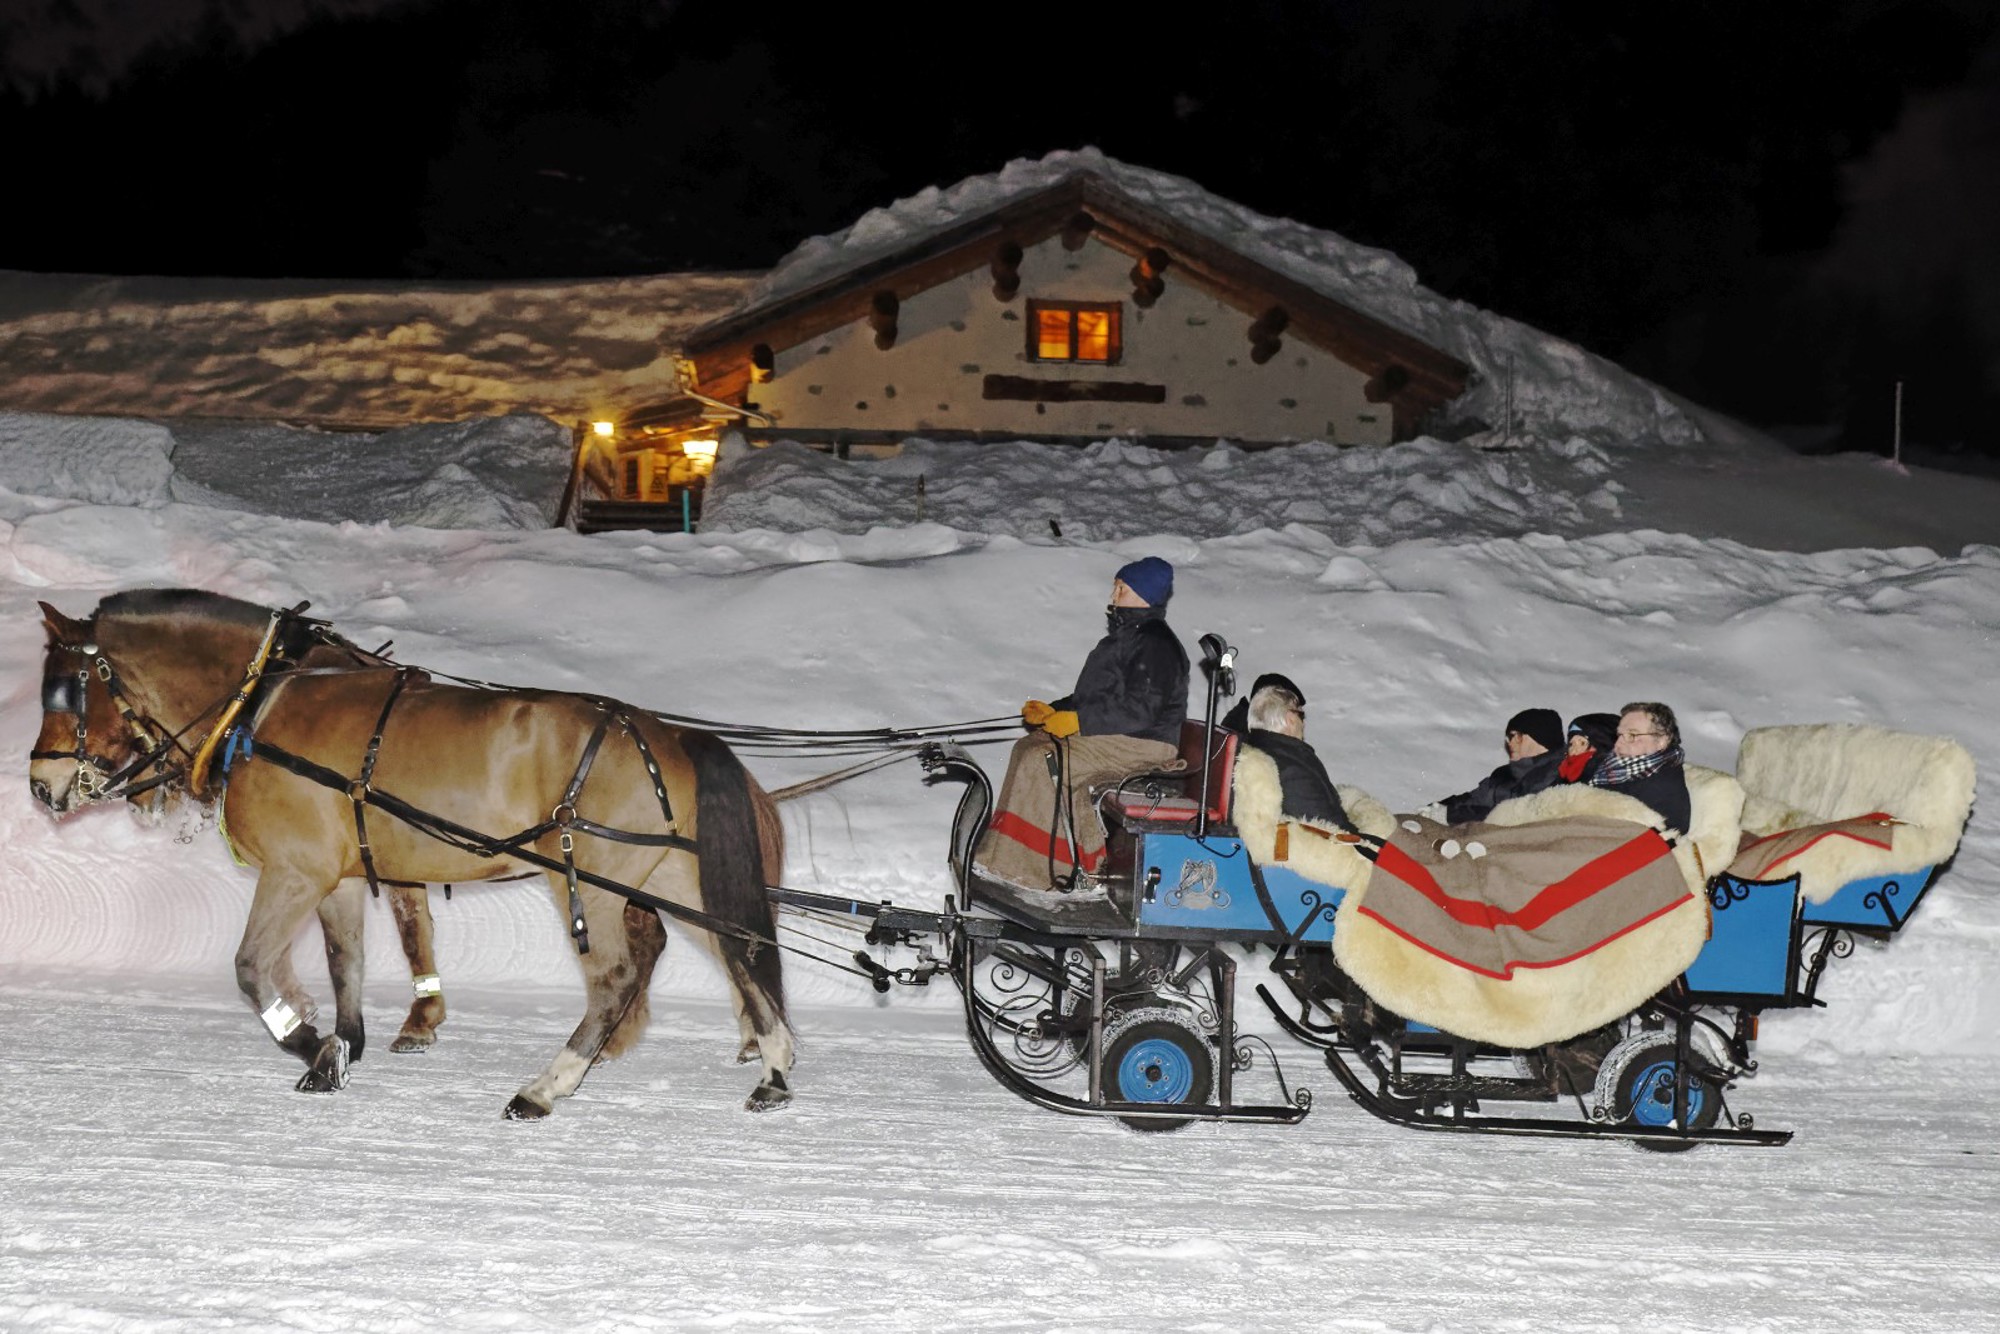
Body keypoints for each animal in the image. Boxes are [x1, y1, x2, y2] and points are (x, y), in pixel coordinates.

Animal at [30, 588, 793, 1117]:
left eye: (68, 691)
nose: (40, 785)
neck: (262, 703)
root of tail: (666, 735)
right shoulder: (335, 877)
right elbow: (346, 963)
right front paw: (340, 1050)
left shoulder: (296, 871)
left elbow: (250, 968)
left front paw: (307, 1039)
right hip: (675, 875)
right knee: (740, 948)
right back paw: (776, 1068)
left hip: (592, 881)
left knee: (614, 975)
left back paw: (546, 1086)